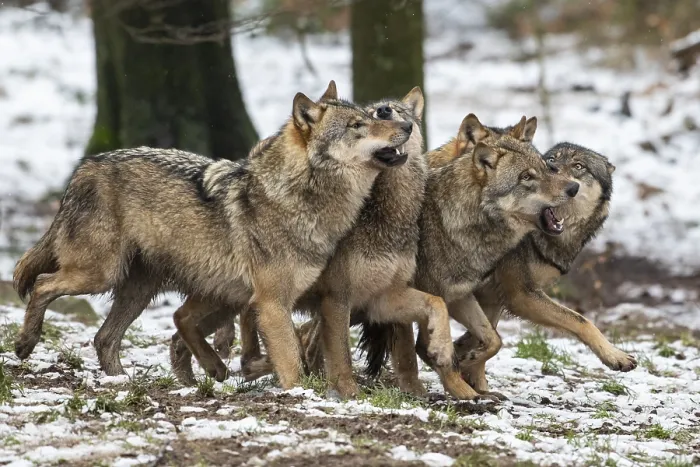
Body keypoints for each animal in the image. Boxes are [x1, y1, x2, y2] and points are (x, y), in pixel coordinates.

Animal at [12, 84, 413, 390]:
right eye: (359, 124)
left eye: (374, 117)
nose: (408, 125)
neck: (300, 198)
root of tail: (86, 167)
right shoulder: (272, 303)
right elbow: (290, 359)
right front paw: (301, 394)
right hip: (100, 275)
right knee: (44, 284)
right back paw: (26, 344)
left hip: (144, 289)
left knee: (106, 337)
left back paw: (125, 380)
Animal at [169, 87, 462, 399]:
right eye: (371, 114)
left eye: (397, 111)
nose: (387, 113)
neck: (387, 214)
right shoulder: (336, 299)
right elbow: (342, 356)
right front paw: (350, 393)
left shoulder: (385, 294)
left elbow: (428, 317)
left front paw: (424, 380)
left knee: (183, 321)